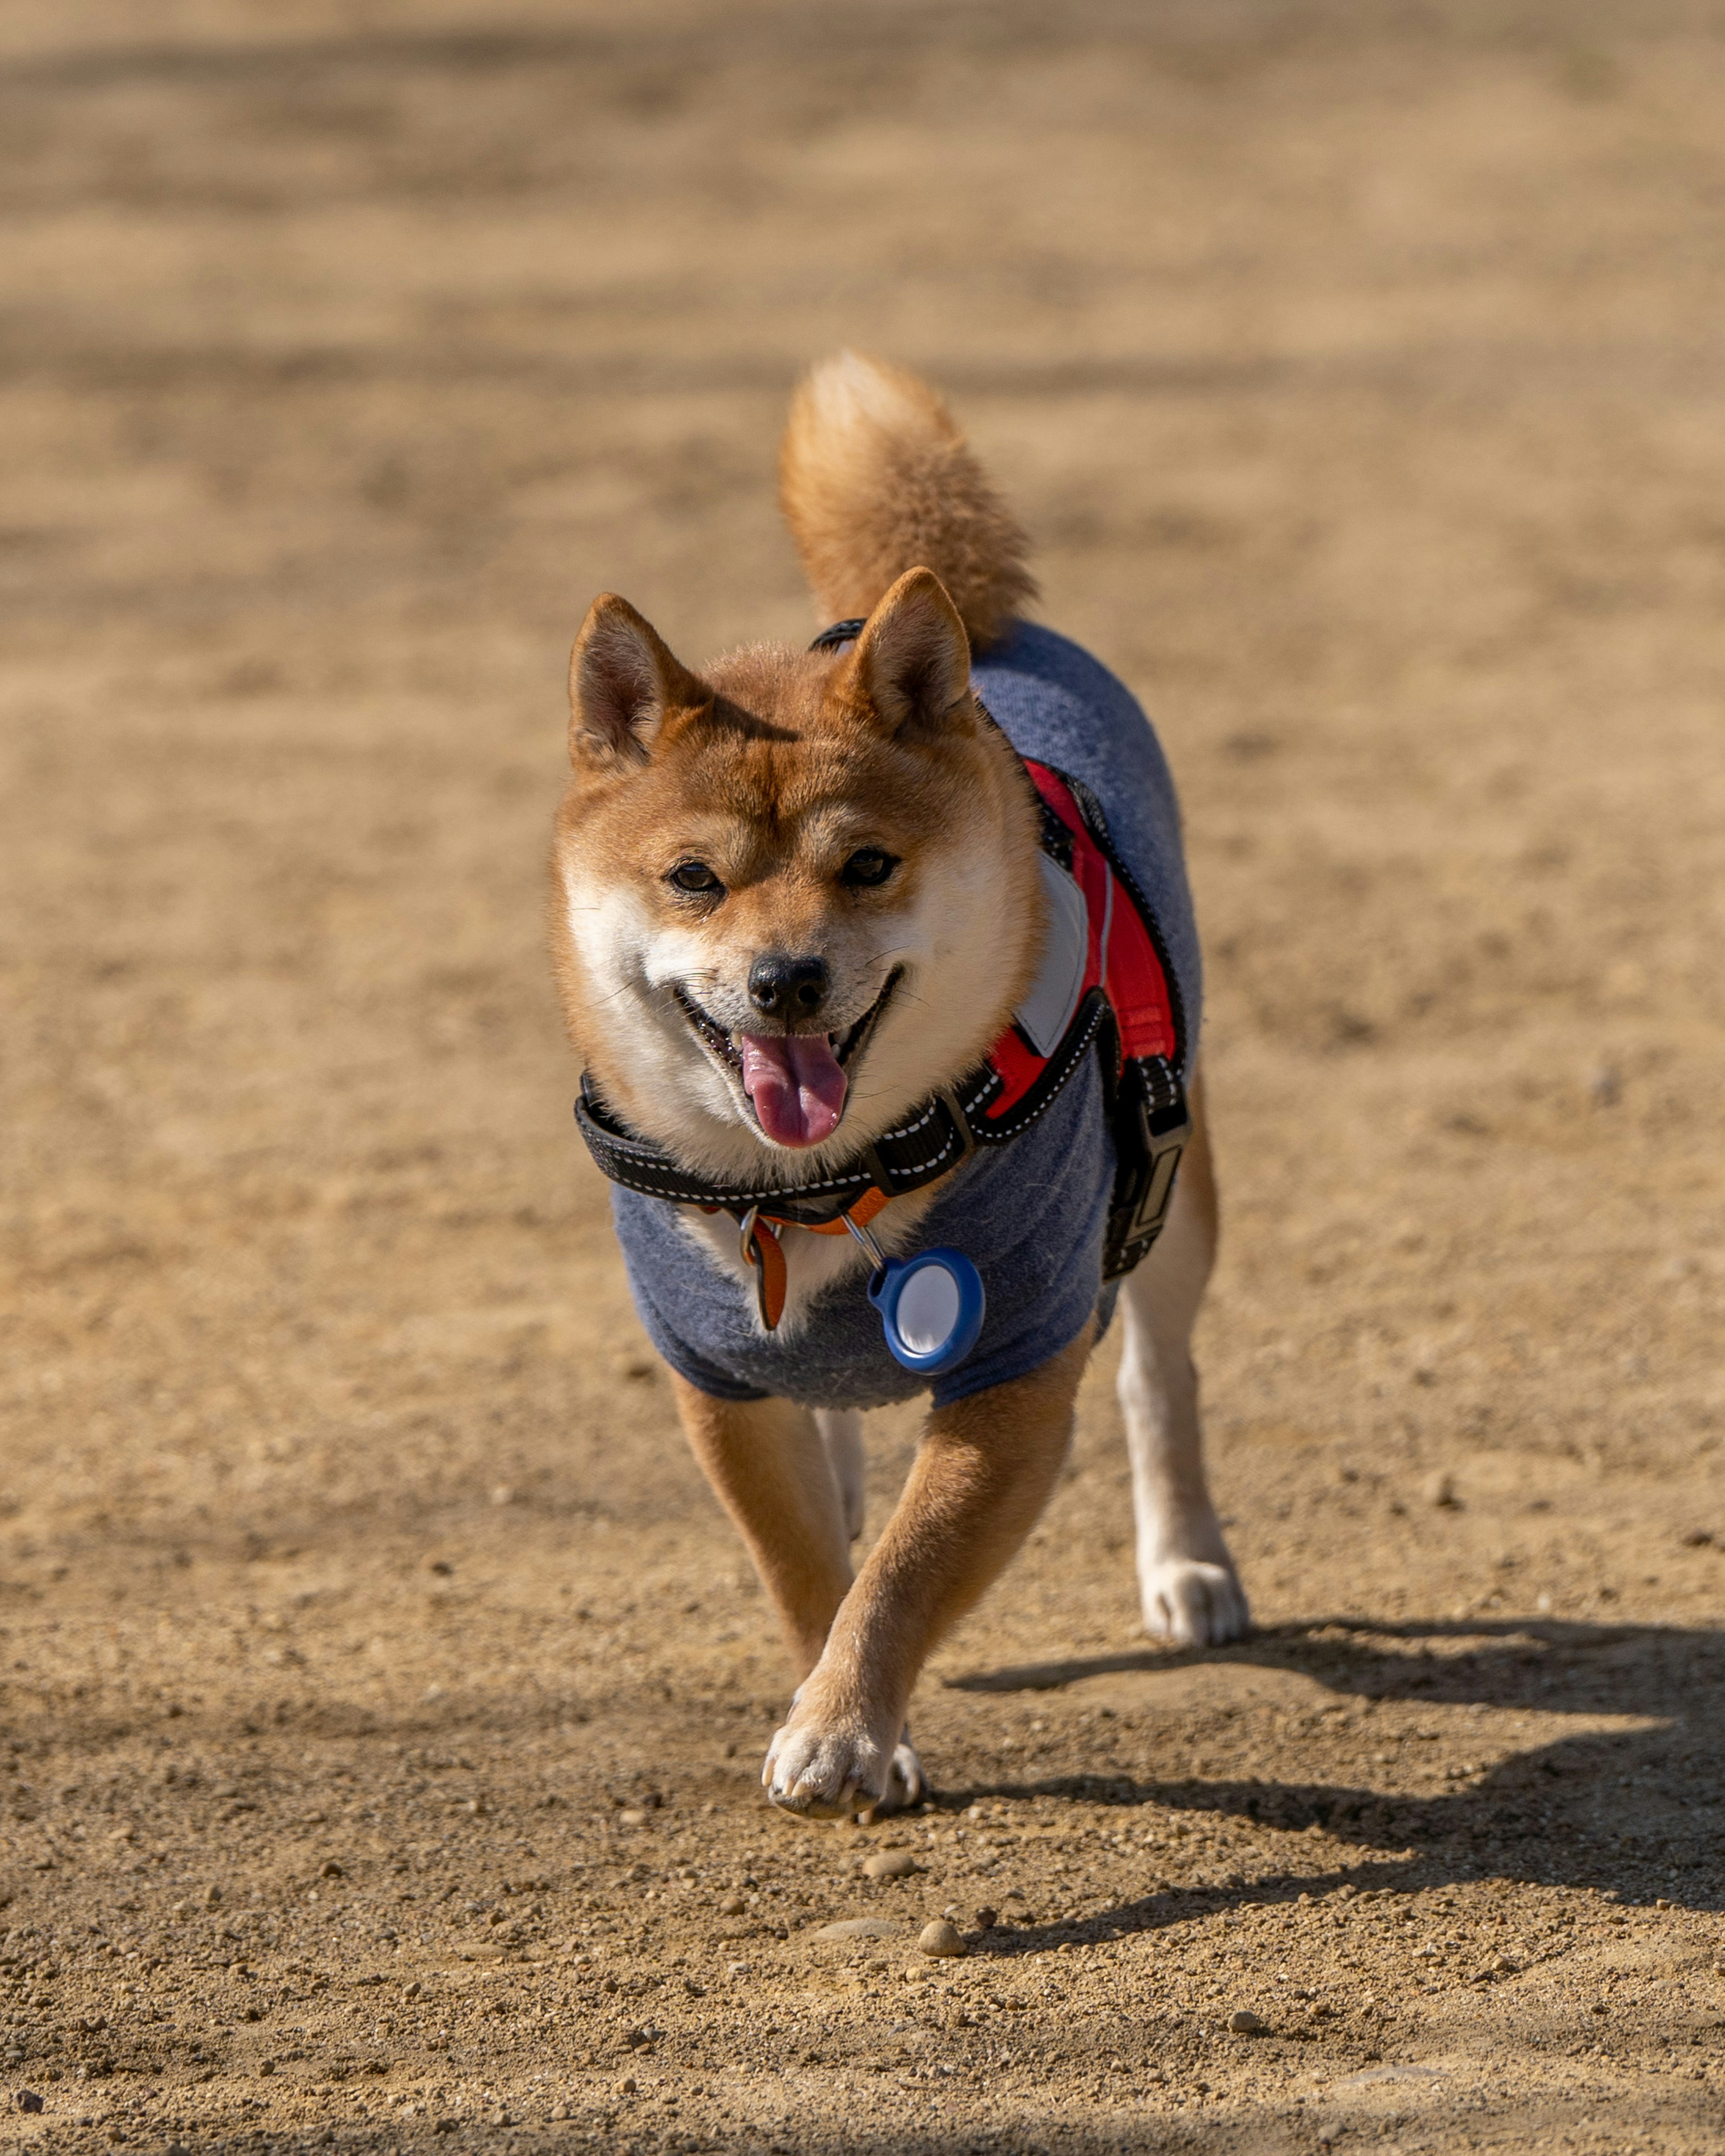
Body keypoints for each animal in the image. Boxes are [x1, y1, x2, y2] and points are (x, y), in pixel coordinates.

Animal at [550, 353, 1242, 1820]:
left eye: (866, 865)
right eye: (692, 878)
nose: (785, 980)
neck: (818, 1189)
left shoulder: (1017, 1362)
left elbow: (909, 1570)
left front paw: (842, 1725)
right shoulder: (716, 1373)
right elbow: (805, 1562)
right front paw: (842, 1704)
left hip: (1173, 1184)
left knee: (1160, 1377)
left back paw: (1187, 1561)